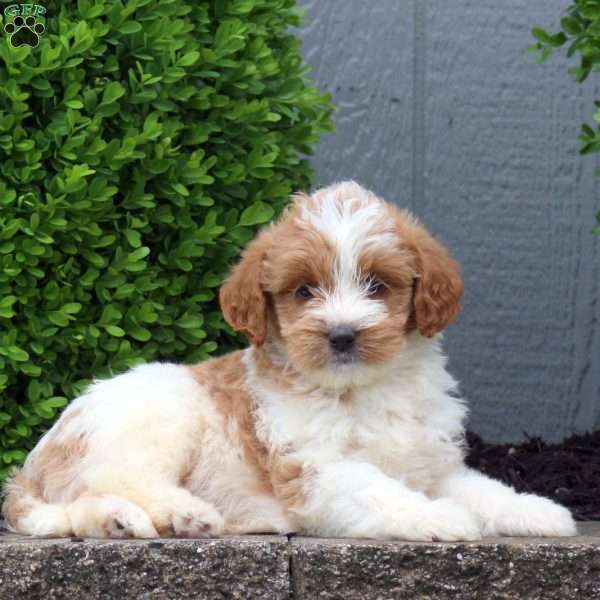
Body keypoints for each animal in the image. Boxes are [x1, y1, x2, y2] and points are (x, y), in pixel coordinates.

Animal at [1, 182, 576, 540]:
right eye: (303, 291)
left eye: (377, 285)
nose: (343, 334)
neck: (361, 391)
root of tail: (33, 461)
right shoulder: (315, 470)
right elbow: (380, 490)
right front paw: (438, 518)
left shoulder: (432, 465)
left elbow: (483, 489)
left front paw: (536, 510)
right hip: (154, 419)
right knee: (117, 478)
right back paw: (184, 511)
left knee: (81, 505)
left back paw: (125, 522)